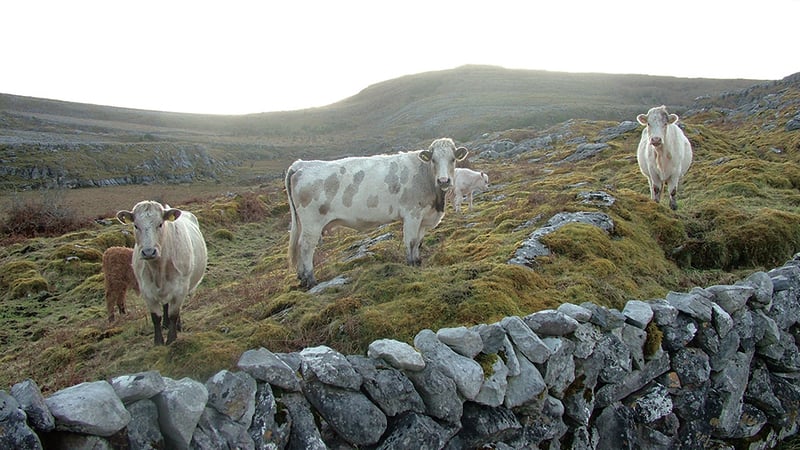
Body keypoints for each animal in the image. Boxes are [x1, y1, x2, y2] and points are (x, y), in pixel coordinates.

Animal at [118, 200, 208, 344]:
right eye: (136, 226)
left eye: (160, 224)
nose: (149, 252)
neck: (158, 269)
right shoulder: (146, 290)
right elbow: (155, 317)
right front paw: (158, 341)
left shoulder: (180, 288)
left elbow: (174, 314)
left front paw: (171, 338)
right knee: (166, 305)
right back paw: (165, 324)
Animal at [284, 135, 468, 288]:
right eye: (433, 160)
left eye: (453, 159)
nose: (444, 180)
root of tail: (301, 164)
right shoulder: (412, 214)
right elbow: (410, 241)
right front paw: (410, 264)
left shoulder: (424, 217)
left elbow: (418, 242)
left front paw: (417, 261)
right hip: (312, 223)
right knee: (306, 247)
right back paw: (311, 280)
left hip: (302, 223)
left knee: (298, 245)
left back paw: (302, 277)